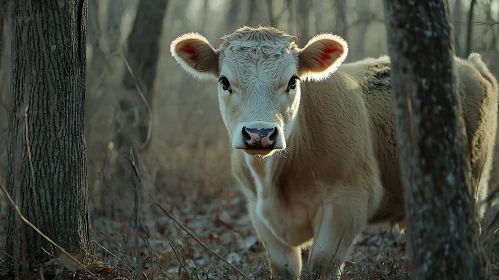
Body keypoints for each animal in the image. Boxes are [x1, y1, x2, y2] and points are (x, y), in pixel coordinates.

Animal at [170, 25, 498, 278]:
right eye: (224, 81)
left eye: (293, 80)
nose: (259, 134)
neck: (276, 182)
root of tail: (470, 64)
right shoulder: (258, 213)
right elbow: (285, 268)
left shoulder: (347, 205)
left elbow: (321, 266)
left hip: (474, 184)